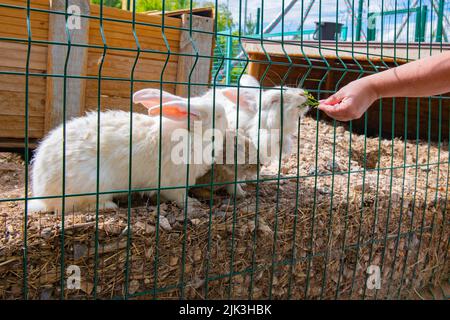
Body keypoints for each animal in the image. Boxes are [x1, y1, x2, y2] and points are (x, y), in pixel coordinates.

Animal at [29, 88, 229, 212]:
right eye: (218, 115)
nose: (227, 120)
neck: (192, 134)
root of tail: (42, 194)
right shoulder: (175, 182)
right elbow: (180, 197)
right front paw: (193, 203)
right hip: (93, 186)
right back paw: (108, 206)